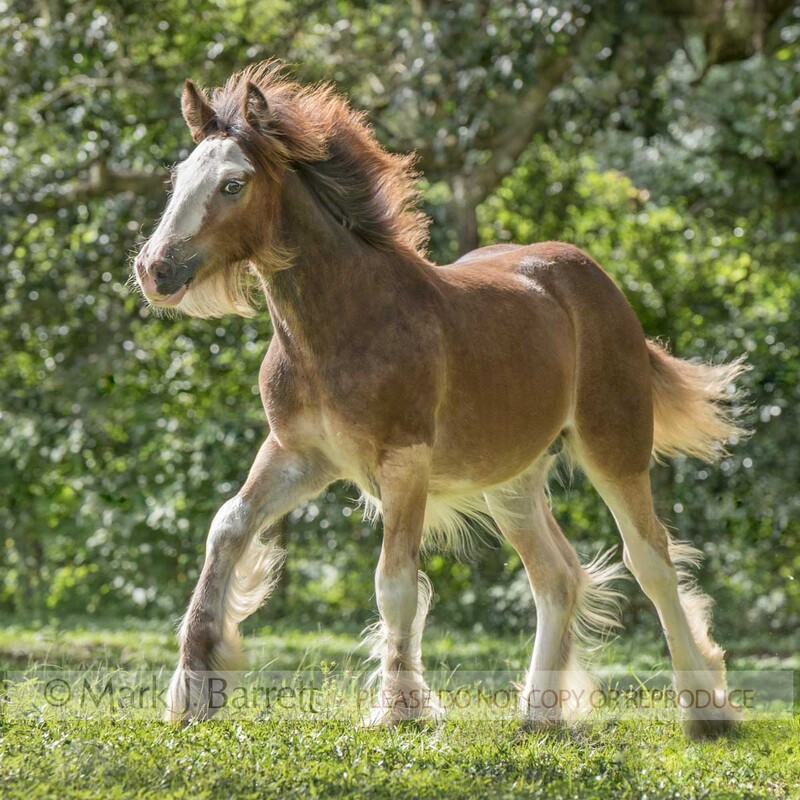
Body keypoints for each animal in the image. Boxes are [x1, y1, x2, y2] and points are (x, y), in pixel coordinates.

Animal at [133, 61, 748, 738]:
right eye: (179, 178)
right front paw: (196, 687)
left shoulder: (404, 462)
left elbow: (395, 581)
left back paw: (707, 710)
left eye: (233, 184)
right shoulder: (299, 454)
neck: (344, 324)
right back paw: (539, 713)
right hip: (511, 482)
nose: (154, 269)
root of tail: (595, 278)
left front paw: (399, 707)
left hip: (614, 446)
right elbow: (228, 527)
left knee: (652, 561)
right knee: (557, 577)